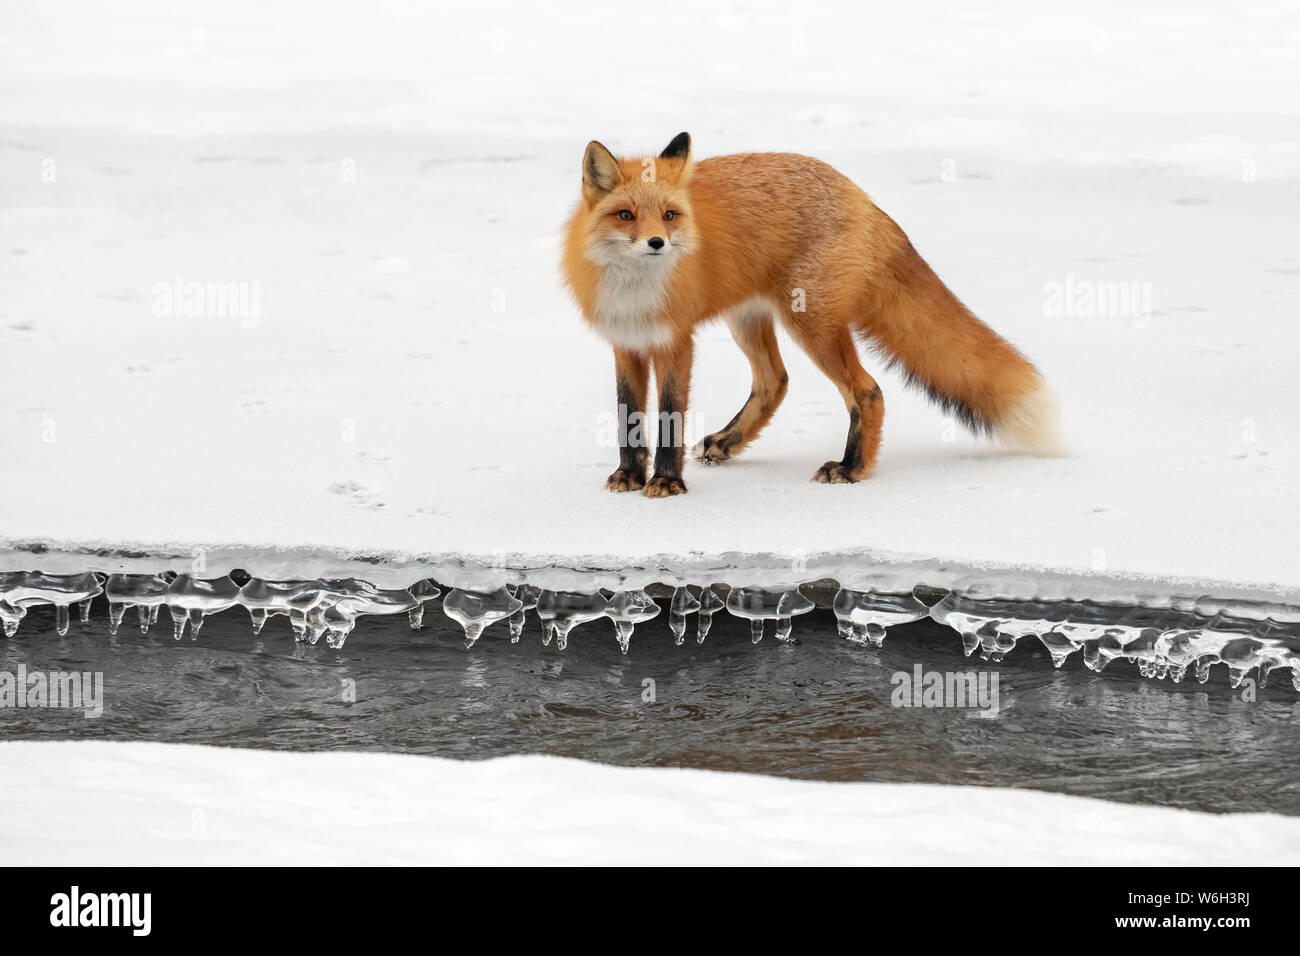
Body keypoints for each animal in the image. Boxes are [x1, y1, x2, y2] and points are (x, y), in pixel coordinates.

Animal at [561, 132, 1066, 502]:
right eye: (626, 215)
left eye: (668, 216)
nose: (657, 244)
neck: (636, 294)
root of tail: (860, 195)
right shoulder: (626, 343)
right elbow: (628, 416)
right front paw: (629, 475)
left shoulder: (675, 342)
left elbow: (669, 416)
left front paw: (666, 482)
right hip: (749, 319)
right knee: (775, 381)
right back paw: (729, 442)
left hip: (811, 324)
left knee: (868, 391)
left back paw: (852, 468)